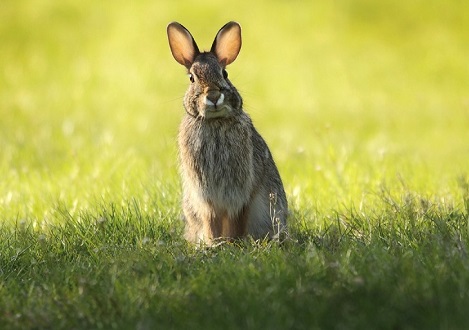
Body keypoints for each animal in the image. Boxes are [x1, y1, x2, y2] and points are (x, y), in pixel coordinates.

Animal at [166, 20, 288, 245]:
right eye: (192, 78)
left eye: (225, 74)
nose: (213, 96)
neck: (214, 122)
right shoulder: (205, 196)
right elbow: (211, 219)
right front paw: (214, 242)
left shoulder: (239, 194)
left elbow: (235, 218)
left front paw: (231, 242)